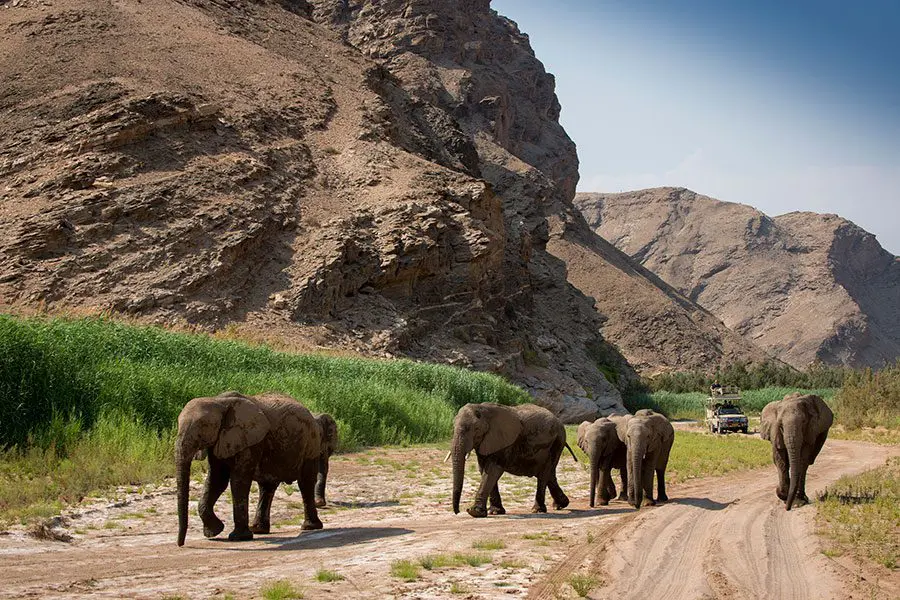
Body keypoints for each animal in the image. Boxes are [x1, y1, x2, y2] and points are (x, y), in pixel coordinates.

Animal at [175, 391, 328, 546]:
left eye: (204, 427)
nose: (180, 544)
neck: (218, 401)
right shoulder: (220, 440)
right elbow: (217, 480)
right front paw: (215, 531)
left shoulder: (250, 440)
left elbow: (238, 481)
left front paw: (238, 537)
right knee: (267, 486)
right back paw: (258, 529)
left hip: (311, 444)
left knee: (306, 482)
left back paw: (310, 527)